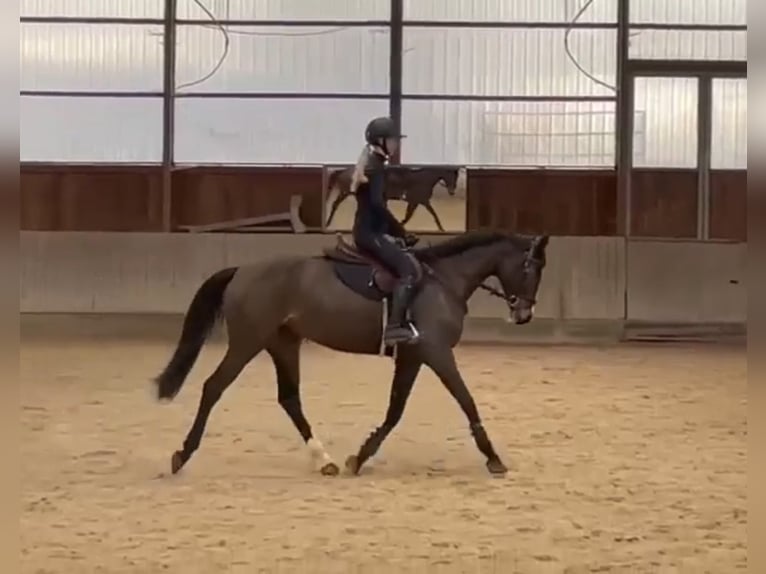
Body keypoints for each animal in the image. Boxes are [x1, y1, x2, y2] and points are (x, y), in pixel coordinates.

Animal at [154, 230, 549, 478]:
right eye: (531, 267)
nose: (524, 314)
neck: (442, 280)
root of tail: (242, 271)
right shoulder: (435, 352)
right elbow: (466, 400)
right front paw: (494, 458)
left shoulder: (412, 356)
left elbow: (395, 410)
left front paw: (358, 458)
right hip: (247, 342)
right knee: (213, 387)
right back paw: (182, 454)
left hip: (283, 343)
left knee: (289, 398)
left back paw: (323, 460)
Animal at [324, 166, 460, 231]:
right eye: (452, 176)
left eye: (457, 177)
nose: (452, 192)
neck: (424, 179)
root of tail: (343, 171)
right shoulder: (421, 201)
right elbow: (432, 214)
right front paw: (442, 229)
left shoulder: (415, 202)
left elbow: (409, 215)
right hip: (347, 192)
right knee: (338, 205)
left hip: (346, 193)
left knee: (336, 205)